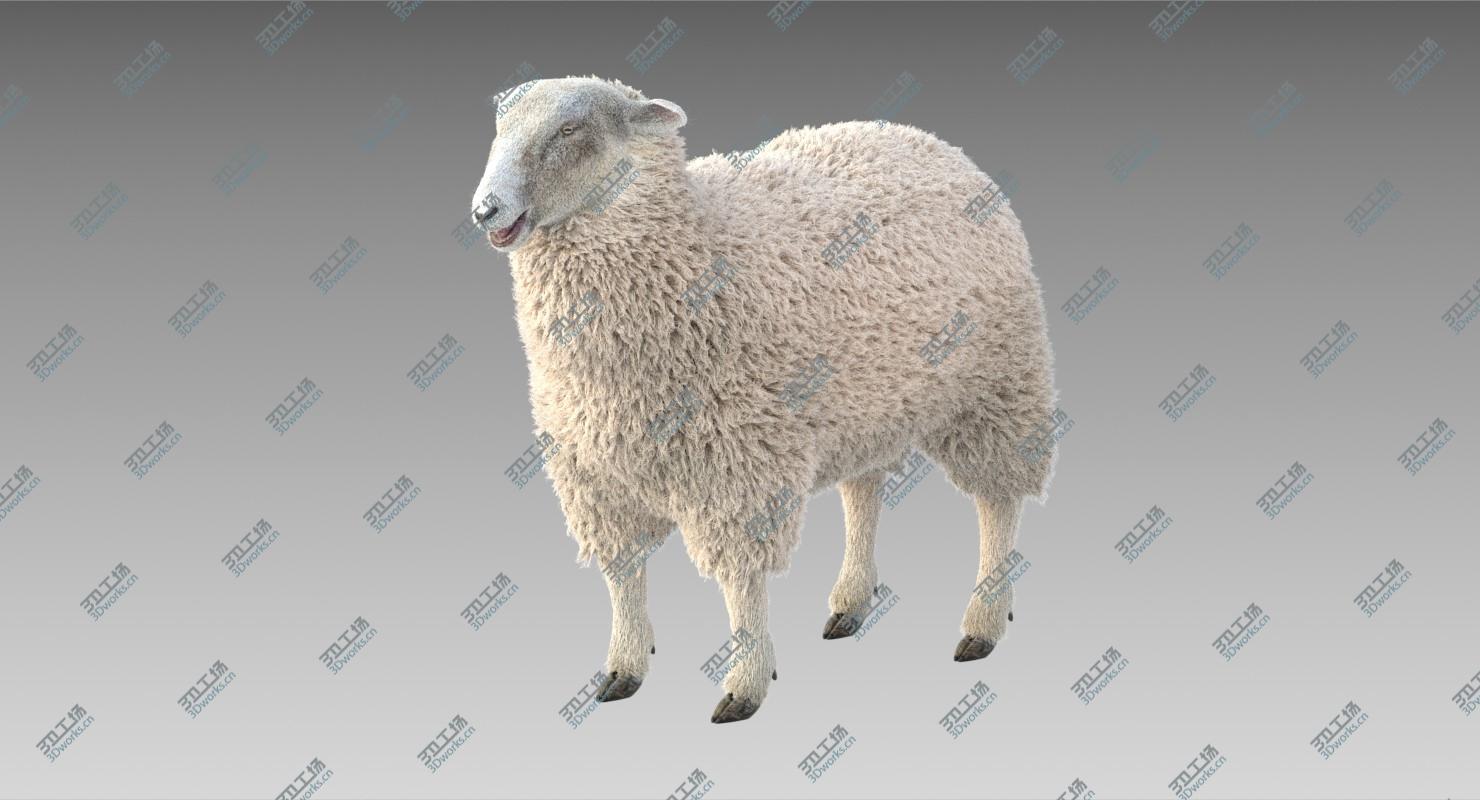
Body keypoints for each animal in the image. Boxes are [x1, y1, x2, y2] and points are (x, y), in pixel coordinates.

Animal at [471, 76, 1058, 723]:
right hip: (868, 400)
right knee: (864, 492)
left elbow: (742, 581)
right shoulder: (595, 475)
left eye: (570, 129)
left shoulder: (737, 465)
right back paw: (852, 600)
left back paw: (983, 618)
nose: (485, 209)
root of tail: (929, 140)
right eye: (498, 126)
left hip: (994, 382)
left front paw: (745, 681)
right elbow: (623, 572)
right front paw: (624, 665)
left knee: (999, 502)